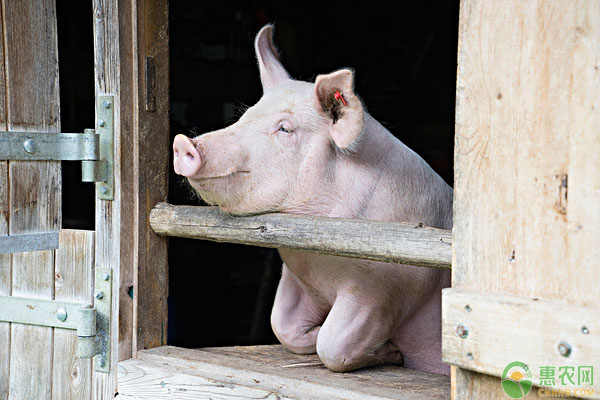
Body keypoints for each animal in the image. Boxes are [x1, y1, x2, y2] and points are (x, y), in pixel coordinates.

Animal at [171, 25, 452, 376]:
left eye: (284, 128)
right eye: (245, 117)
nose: (183, 142)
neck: (318, 263)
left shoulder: (384, 289)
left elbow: (332, 344)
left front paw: (393, 353)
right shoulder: (296, 276)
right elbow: (281, 324)